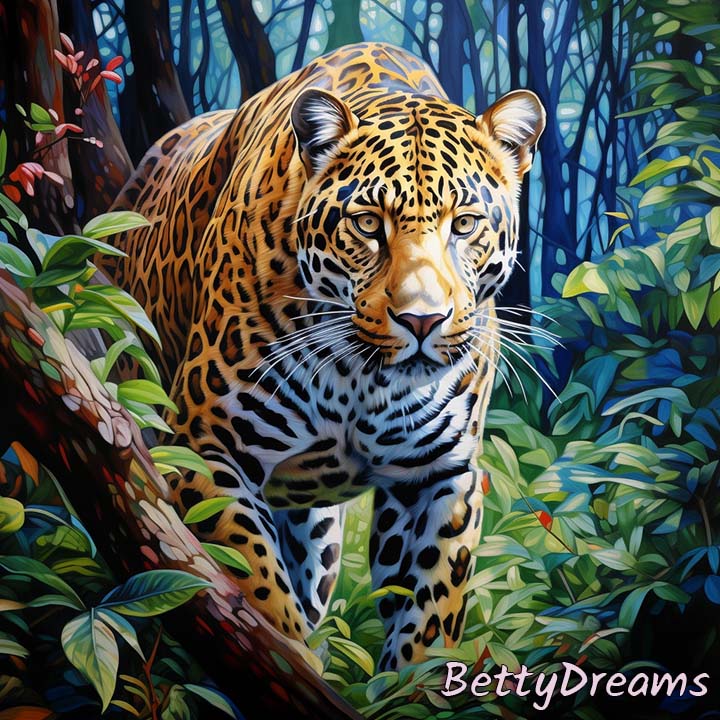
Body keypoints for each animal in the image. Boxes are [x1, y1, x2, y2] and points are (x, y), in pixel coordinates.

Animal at [99, 41, 545, 671]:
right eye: (368, 224)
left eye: (464, 224)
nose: (422, 320)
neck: (364, 378)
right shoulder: (205, 447)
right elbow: (261, 594)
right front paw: (295, 664)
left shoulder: (440, 477)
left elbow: (429, 618)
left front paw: (409, 683)